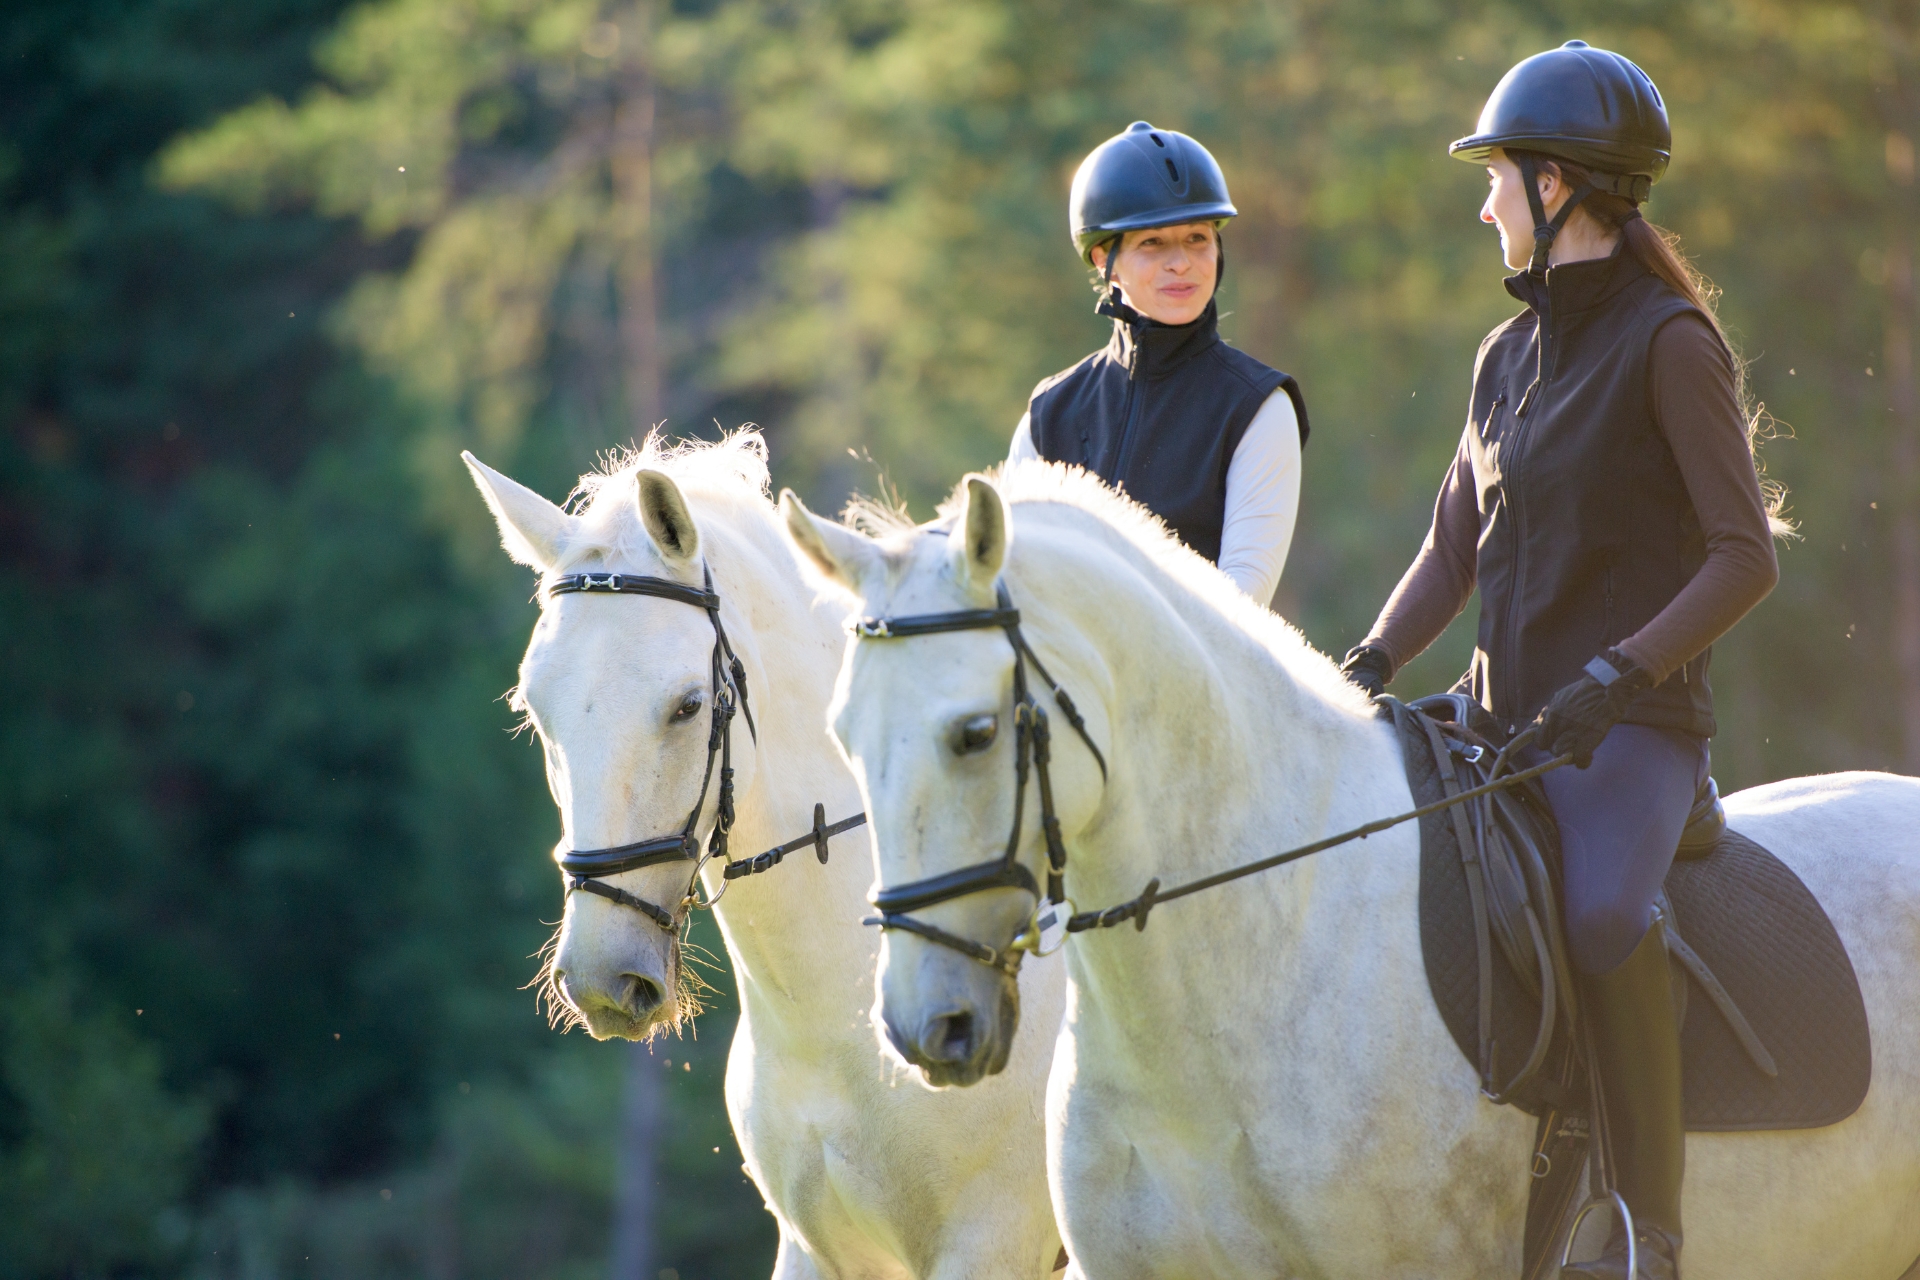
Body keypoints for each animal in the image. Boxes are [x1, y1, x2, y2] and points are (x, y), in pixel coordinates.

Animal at [464, 437, 1067, 1280]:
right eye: (532, 709)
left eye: (689, 705)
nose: (599, 979)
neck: (835, 1026)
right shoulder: (812, 1249)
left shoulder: (989, 1245)